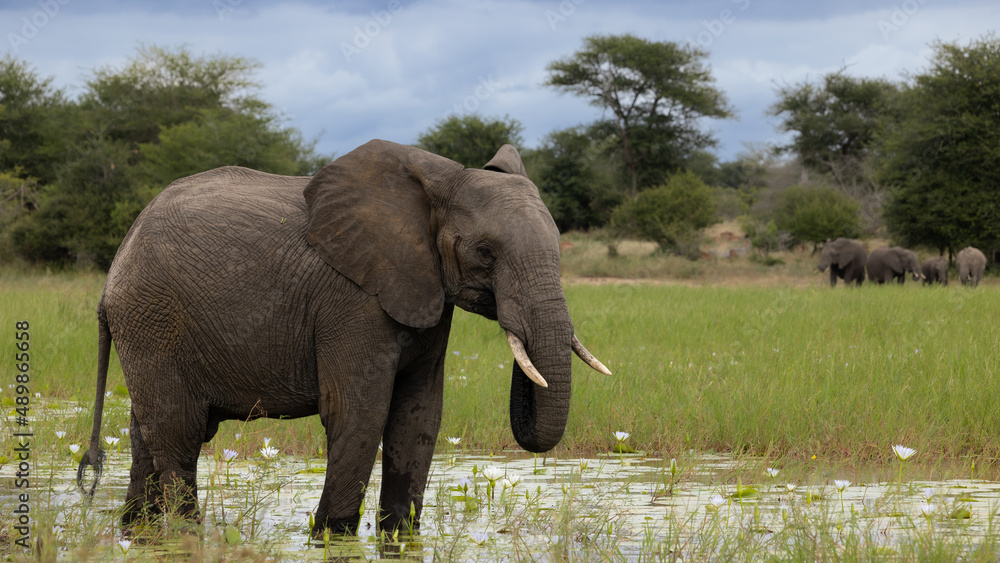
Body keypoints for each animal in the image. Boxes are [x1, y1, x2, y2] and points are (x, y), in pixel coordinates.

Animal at [77, 140, 611, 537]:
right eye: (485, 252)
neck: (437, 183)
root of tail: (115, 266)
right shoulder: (352, 301)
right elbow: (359, 410)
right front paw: (331, 534)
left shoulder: (426, 294)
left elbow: (419, 413)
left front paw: (400, 534)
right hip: (153, 320)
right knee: (179, 429)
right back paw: (187, 533)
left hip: (148, 326)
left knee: (147, 429)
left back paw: (136, 529)